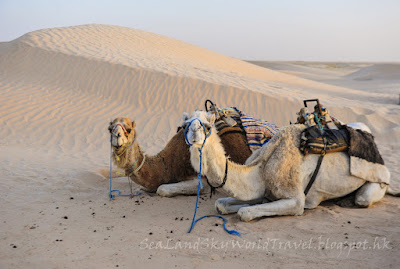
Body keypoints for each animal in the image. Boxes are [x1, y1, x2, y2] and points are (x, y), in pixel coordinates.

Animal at [108, 115, 252, 195]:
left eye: (128, 129)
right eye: (110, 129)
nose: (117, 137)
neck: (168, 163)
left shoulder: (201, 180)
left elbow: (162, 189)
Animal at [184, 110, 394, 221]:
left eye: (207, 126)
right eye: (185, 124)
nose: (194, 132)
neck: (260, 169)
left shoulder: (295, 200)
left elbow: (245, 212)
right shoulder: (261, 189)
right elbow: (221, 203)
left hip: (376, 184)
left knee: (363, 198)